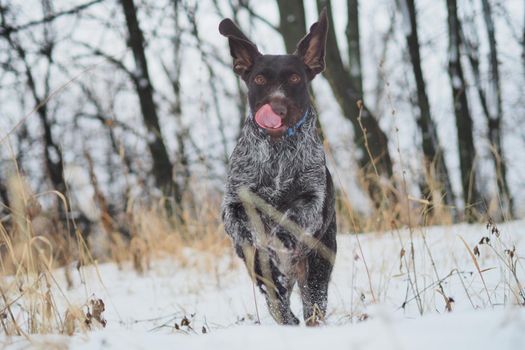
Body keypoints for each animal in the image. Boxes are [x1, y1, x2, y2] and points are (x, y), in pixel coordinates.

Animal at [218, 8, 336, 326]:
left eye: (295, 77)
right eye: (259, 78)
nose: (277, 108)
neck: (277, 151)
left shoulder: (312, 199)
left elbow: (294, 216)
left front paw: (281, 234)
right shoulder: (234, 202)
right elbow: (244, 227)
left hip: (319, 263)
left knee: (313, 302)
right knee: (277, 299)